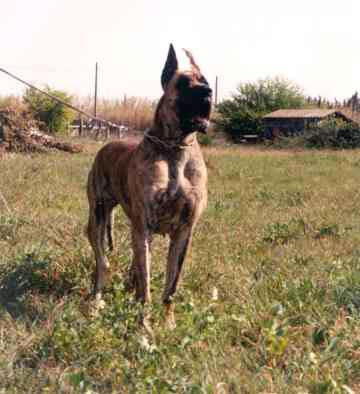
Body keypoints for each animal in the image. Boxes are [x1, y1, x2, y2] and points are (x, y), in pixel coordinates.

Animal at [86, 43, 211, 328]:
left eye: (206, 81)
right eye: (184, 84)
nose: (209, 93)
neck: (175, 148)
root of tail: (107, 144)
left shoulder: (184, 232)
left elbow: (171, 285)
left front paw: (169, 323)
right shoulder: (144, 226)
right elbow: (146, 286)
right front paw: (144, 326)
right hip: (97, 219)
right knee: (102, 263)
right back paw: (97, 301)